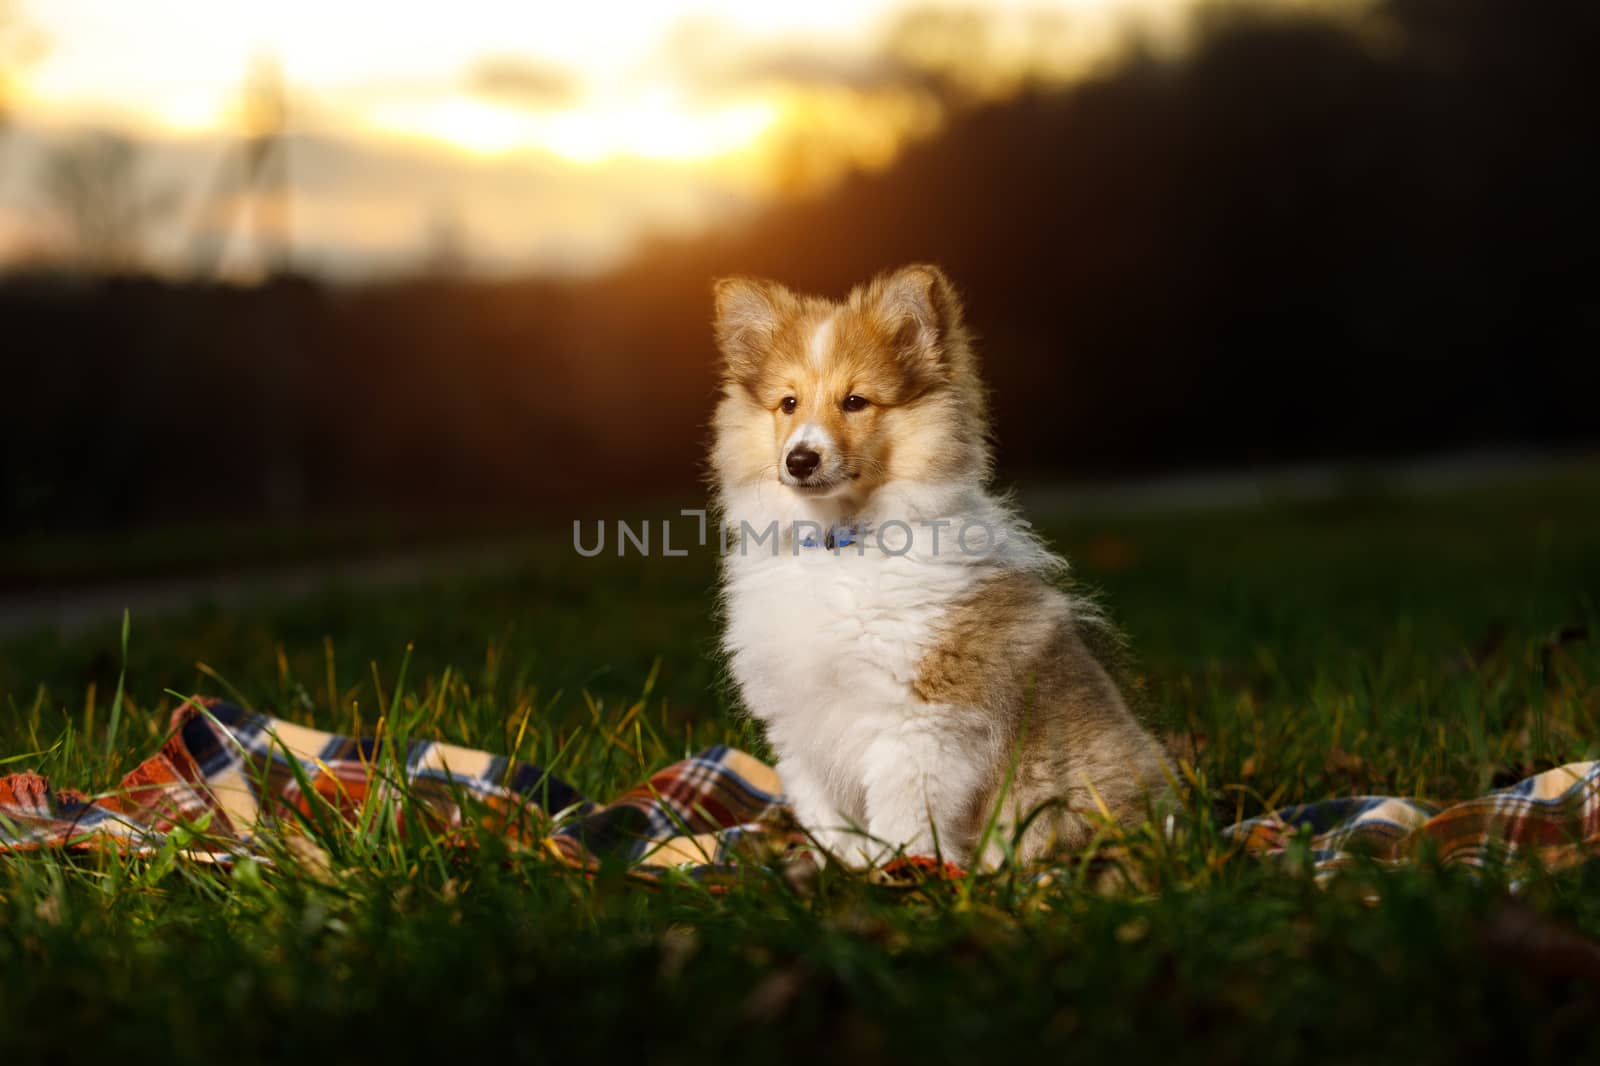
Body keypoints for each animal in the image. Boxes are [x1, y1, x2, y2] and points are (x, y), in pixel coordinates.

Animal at [707, 264, 1171, 864]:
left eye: (855, 401)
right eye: (788, 403)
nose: (800, 459)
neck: (840, 546)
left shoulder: (920, 723)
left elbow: (902, 821)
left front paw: (898, 874)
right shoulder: (799, 725)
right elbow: (828, 822)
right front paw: (840, 870)